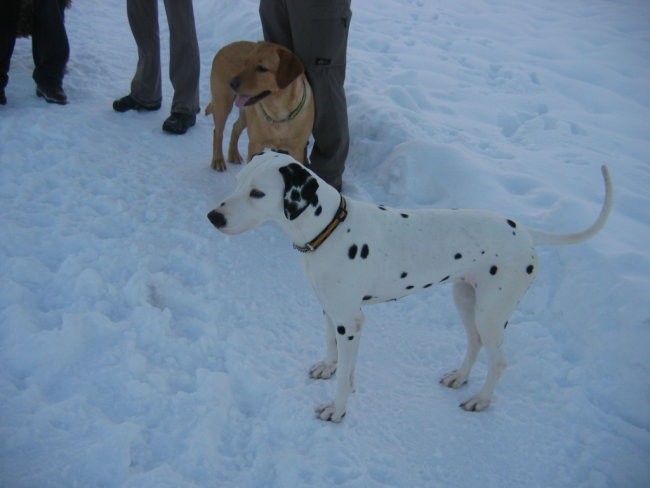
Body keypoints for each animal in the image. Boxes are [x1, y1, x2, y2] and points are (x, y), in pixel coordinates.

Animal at [204, 41, 312, 172]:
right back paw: (218, 160)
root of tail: (225, 47)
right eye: (246, 63)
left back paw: (233, 154)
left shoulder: (297, 149)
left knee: (235, 127)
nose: (231, 83)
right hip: (223, 104)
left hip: (244, 114)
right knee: (218, 132)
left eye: (262, 68)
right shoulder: (255, 144)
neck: (278, 112)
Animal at [205, 152, 612, 424]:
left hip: (492, 314)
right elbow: (334, 352)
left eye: (258, 193)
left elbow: (344, 375)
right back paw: (459, 377)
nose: (213, 216)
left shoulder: (350, 321)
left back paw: (480, 400)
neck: (330, 228)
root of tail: (526, 231)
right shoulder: (331, 310)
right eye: (239, 183)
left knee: (499, 360)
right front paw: (330, 369)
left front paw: (337, 408)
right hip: (466, 300)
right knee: (474, 343)